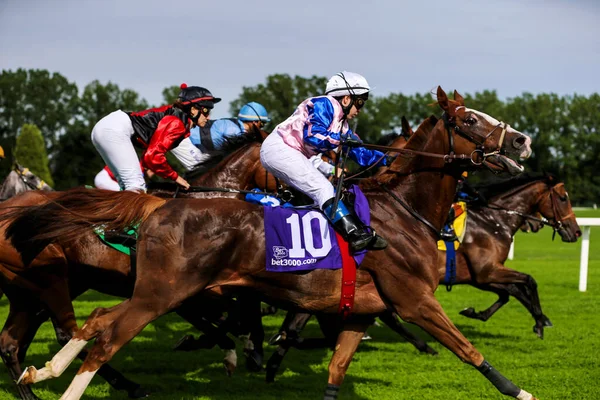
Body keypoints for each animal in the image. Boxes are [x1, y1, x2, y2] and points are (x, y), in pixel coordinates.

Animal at [5, 88, 540, 400]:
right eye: (468, 120)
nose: (522, 141)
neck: (404, 211)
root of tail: (157, 210)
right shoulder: (414, 300)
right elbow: (466, 349)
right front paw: (521, 392)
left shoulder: (361, 310)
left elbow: (336, 371)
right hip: (158, 293)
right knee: (104, 338)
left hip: (147, 291)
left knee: (89, 322)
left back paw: (39, 374)